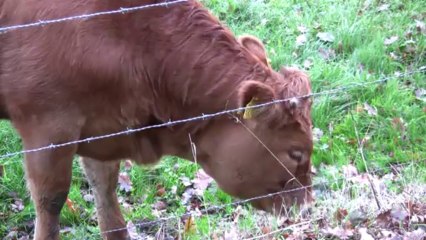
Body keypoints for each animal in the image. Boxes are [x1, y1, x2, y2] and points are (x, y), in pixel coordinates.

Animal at [0, 0, 312, 240]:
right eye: (296, 152)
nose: (308, 208)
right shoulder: (48, 127)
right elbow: (51, 202)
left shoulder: (101, 127)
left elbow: (107, 198)